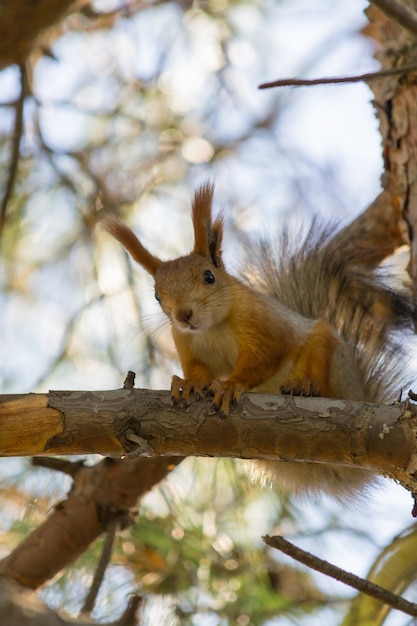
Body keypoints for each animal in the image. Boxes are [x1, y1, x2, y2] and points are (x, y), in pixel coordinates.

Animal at [102, 182, 414, 498]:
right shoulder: (187, 343)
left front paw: (230, 385)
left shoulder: (264, 325)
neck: (211, 328)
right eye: (156, 295)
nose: (183, 315)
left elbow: (266, 356)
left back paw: (304, 384)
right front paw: (188, 384)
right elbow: (199, 370)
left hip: (331, 357)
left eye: (209, 276)